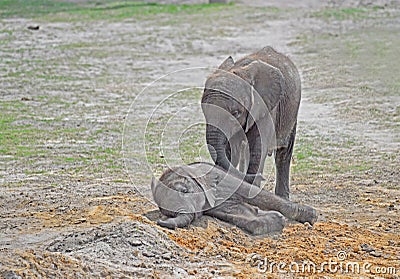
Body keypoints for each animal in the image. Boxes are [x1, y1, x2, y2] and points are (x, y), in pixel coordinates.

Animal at [152, 162, 318, 236]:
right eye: (170, 213)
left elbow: (253, 193)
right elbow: (234, 212)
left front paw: (310, 216)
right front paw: (276, 221)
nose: (159, 222)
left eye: (185, 191)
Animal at [202, 46, 302, 200]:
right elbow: (230, 151)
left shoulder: (266, 108)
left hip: (291, 113)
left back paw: (282, 197)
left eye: (236, 113)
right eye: (204, 110)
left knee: (283, 153)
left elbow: (257, 150)